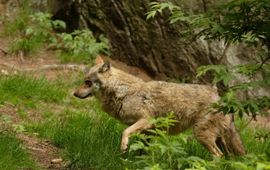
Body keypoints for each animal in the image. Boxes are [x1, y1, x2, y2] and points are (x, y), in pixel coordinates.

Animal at [73, 57, 245, 157]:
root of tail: (221, 97)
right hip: (218, 139)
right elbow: (143, 151)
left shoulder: (146, 121)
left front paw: (123, 148)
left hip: (201, 135)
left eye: (88, 83)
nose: (74, 93)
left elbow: (125, 132)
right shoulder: (148, 132)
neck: (124, 92)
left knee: (218, 155)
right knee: (227, 157)